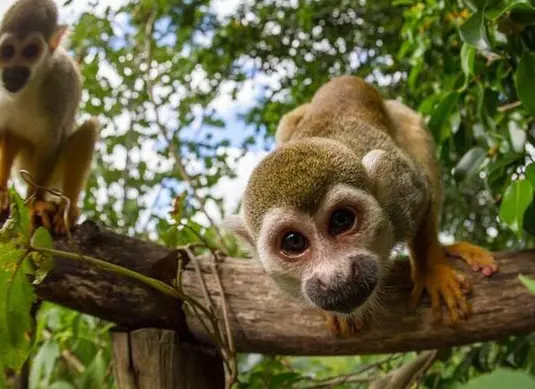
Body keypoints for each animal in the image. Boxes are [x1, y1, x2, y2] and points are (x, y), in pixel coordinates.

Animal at [0, 0, 99, 232]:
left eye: (30, 51)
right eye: (7, 51)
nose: (14, 72)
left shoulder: (60, 82)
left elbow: (51, 141)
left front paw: (33, 205)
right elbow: (7, 131)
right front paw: (0, 191)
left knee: (89, 129)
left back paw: (67, 211)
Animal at [225, 76, 498, 336]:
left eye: (341, 220)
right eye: (293, 242)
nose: (336, 277)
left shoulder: (402, 191)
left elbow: (424, 196)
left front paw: (431, 270)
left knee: (414, 126)